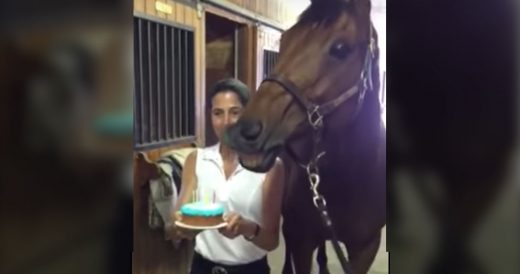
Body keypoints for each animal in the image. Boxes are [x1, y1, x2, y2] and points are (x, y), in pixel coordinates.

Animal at [225, 0, 384, 272]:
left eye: (341, 49)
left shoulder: (365, 248)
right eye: (285, 39)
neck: (349, 178)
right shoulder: (302, 241)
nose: (245, 132)